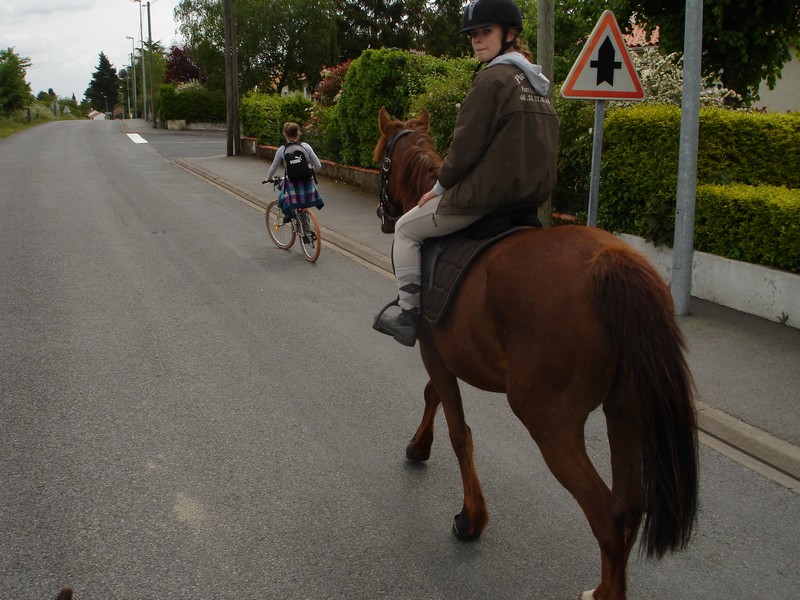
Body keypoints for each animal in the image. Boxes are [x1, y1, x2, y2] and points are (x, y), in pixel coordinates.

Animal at [372, 108, 696, 600]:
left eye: (382, 162)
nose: (387, 216)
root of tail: (612, 262)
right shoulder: (442, 353)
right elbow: (434, 398)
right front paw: (419, 446)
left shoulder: (433, 350)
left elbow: (458, 429)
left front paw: (471, 518)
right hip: (624, 410)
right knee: (631, 505)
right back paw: (605, 587)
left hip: (548, 418)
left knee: (608, 513)